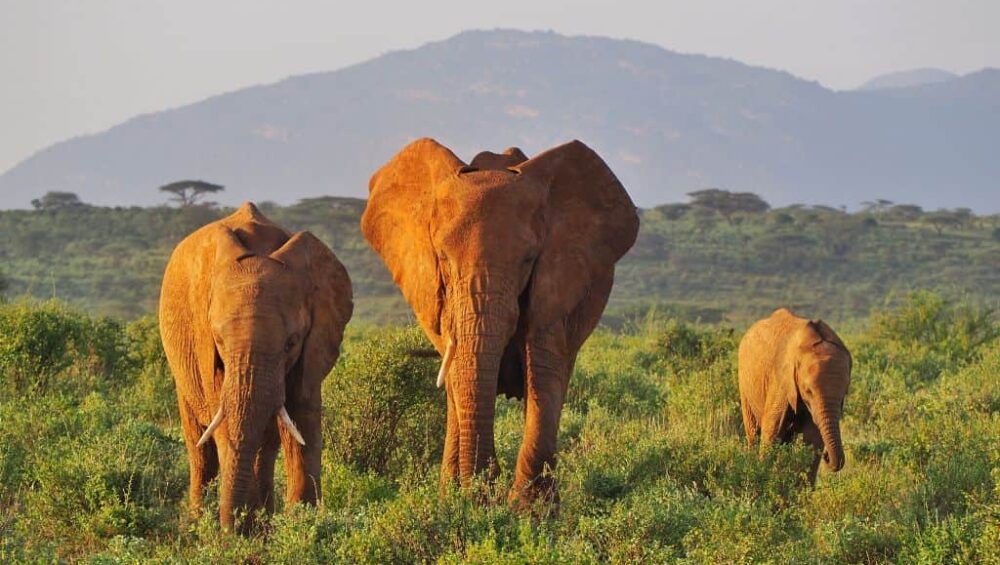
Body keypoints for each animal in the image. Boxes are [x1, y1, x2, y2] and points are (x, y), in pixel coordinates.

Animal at [159, 202, 352, 532]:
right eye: (219, 340)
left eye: (291, 342)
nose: (231, 529)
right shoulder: (207, 348)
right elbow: (225, 424)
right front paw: (243, 532)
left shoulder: (314, 345)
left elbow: (303, 419)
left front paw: (301, 529)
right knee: (201, 448)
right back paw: (199, 524)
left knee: (267, 445)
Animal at [361, 138, 639, 505]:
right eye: (443, 258)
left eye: (528, 260)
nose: (485, 487)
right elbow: (460, 376)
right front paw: (469, 501)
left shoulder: (556, 282)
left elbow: (544, 372)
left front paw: (529, 512)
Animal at [738, 308, 852, 484]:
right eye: (808, 391)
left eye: (844, 393)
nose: (827, 457)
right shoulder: (781, 381)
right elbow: (771, 433)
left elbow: (812, 440)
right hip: (744, 382)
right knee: (753, 433)